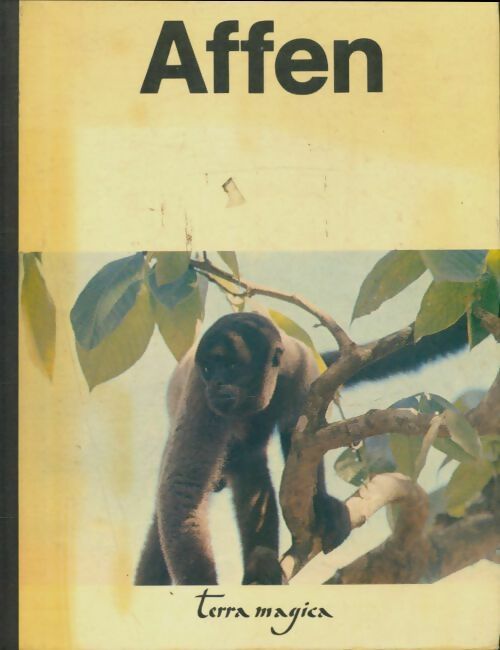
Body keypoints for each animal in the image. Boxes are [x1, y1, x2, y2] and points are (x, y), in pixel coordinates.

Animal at [135, 312, 350, 586]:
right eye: (208, 368)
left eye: (231, 366)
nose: (216, 383)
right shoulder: (200, 391)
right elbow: (183, 485)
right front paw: (203, 583)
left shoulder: (303, 369)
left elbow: (304, 444)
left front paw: (322, 505)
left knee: (252, 469)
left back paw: (260, 563)